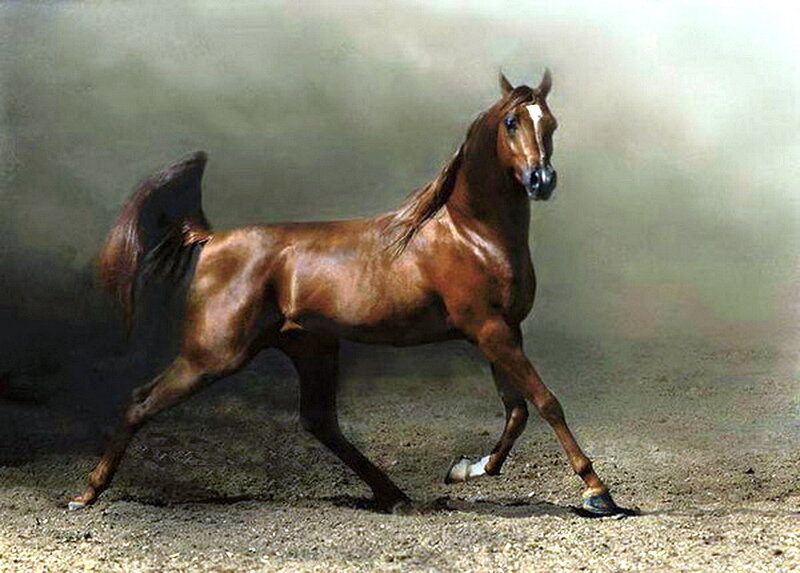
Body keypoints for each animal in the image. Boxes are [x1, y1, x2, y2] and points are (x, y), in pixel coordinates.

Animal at [70, 71, 623, 516]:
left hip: (311, 347)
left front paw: (468, 468)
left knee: (320, 422)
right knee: (140, 401)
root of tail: (213, 239)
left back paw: (396, 497)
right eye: (512, 121)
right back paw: (86, 494)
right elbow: (546, 402)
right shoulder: (489, 330)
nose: (541, 180)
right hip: (214, 354)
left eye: (551, 123)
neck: (472, 233)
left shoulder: (502, 331)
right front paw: (598, 494)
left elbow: (517, 410)